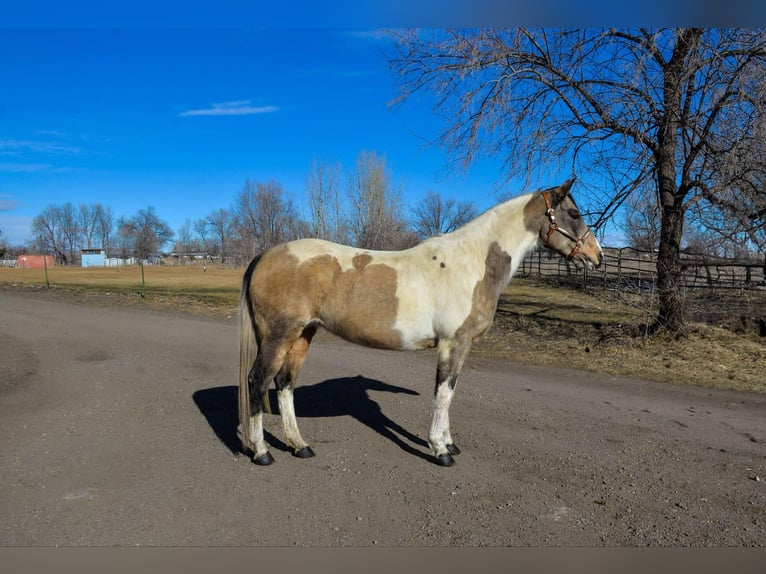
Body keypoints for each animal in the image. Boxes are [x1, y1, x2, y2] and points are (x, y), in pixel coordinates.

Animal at [238, 179, 603, 467]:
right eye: (574, 214)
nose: (597, 256)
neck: (471, 263)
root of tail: (266, 255)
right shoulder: (454, 343)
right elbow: (443, 393)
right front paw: (440, 450)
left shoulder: (459, 347)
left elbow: (450, 392)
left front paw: (449, 443)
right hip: (278, 336)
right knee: (257, 381)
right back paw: (261, 452)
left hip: (303, 334)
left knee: (284, 383)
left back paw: (300, 446)